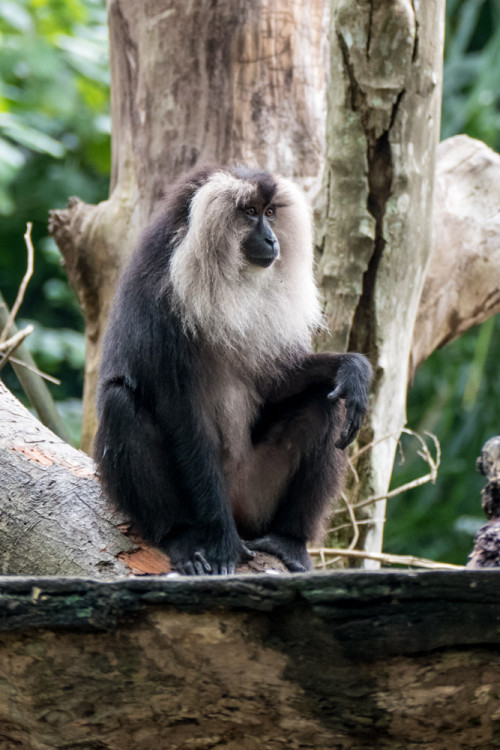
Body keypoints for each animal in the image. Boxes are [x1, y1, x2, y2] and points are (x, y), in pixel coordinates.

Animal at [95, 164, 374, 576]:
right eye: (249, 212)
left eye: (271, 212)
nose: (271, 239)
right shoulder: (162, 304)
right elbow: (182, 417)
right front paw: (221, 542)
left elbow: (277, 382)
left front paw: (353, 368)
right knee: (119, 403)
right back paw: (182, 537)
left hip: (258, 494)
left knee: (325, 403)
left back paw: (288, 540)